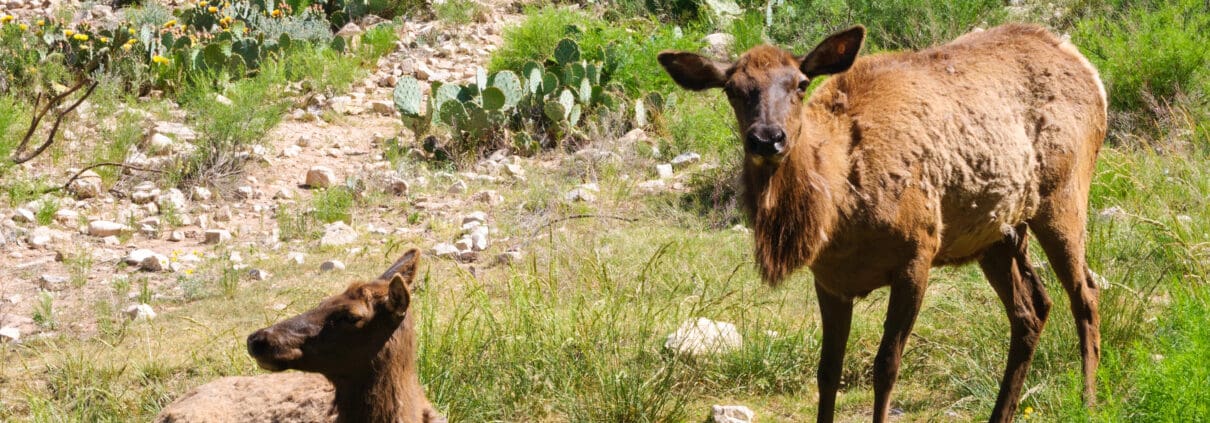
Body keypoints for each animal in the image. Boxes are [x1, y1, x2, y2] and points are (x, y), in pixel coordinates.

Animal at [663, 24, 1108, 423]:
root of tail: (1090, 71)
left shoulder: (917, 253)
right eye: (733, 89)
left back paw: (1088, 401)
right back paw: (1002, 413)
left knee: (1085, 291)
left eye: (801, 83)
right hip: (998, 233)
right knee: (1032, 308)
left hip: (1064, 195)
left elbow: (886, 367)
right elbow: (827, 372)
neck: (838, 211)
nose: (767, 138)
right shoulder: (829, 279)